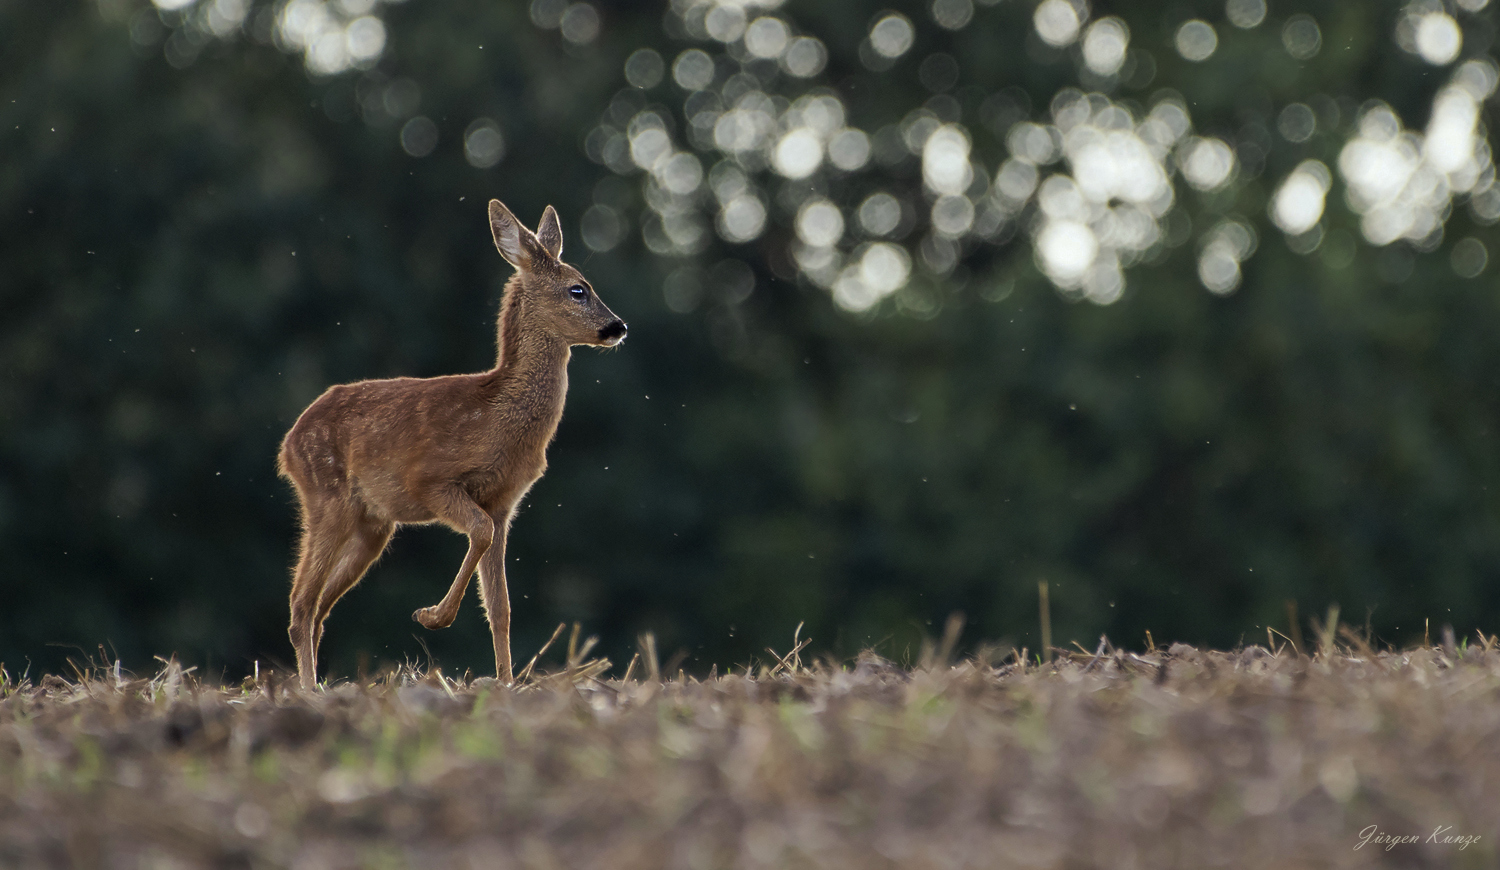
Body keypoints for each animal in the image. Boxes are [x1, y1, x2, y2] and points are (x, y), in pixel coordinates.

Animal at [279, 201, 624, 690]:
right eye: (578, 289)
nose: (618, 326)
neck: (497, 418)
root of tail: (288, 443)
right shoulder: (430, 480)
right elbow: (477, 533)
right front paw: (432, 617)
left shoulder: (504, 503)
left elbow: (501, 607)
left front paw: (506, 681)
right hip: (327, 496)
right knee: (301, 602)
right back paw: (309, 689)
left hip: (373, 524)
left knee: (320, 604)